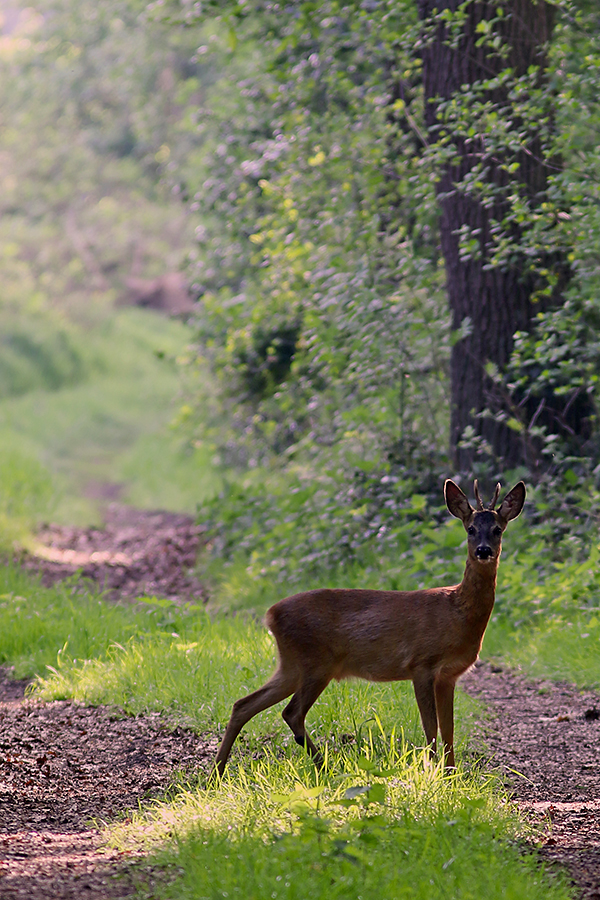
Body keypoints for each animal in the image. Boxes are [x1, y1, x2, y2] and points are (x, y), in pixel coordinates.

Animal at [213, 478, 524, 772]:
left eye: (497, 529)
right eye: (470, 529)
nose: (483, 550)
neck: (457, 614)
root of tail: (271, 614)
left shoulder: (449, 675)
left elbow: (448, 730)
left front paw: (450, 776)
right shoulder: (421, 663)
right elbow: (431, 728)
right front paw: (432, 773)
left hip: (291, 665)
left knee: (243, 705)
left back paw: (217, 772)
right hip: (316, 661)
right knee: (291, 713)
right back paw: (325, 767)